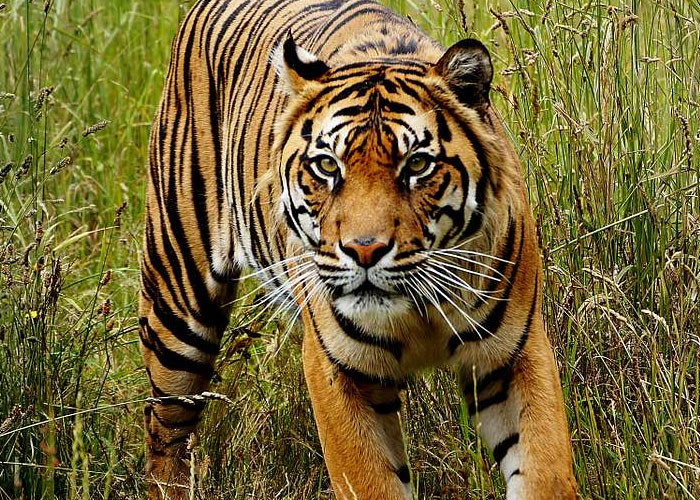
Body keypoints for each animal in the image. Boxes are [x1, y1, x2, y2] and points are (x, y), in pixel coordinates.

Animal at [139, 0, 577, 498]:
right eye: (328, 166)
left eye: (417, 164)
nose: (364, 251)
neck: (420, 311)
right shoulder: (338, 372)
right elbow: (370, 480)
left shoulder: (513, 356)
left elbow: (545, 471)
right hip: (179, 305)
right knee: (165, 431)